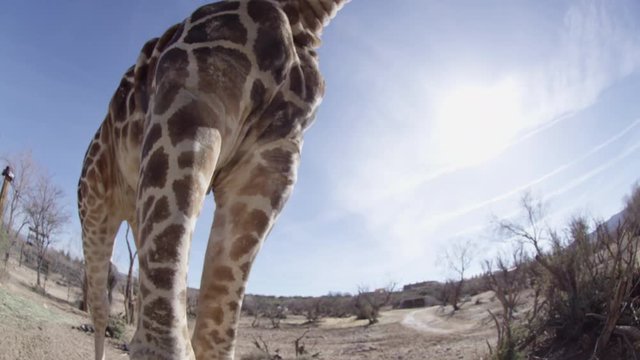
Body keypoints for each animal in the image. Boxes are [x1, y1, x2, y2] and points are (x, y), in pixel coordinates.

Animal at [79, 0, 348, 360]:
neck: (303, 17)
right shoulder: (191, 99)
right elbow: (165, 342)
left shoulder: (273, 163)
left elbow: (216, 338)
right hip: (93, 204)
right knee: (99, 307)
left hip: (136, 210)